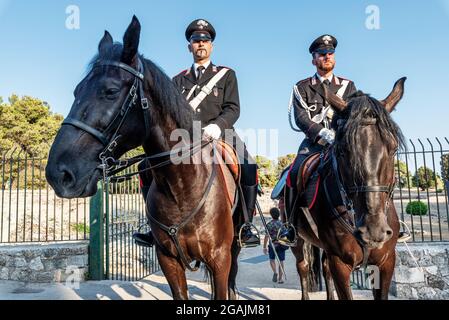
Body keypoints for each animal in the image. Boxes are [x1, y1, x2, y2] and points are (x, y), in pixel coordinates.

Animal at [45, 15, 245, 300]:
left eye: (110, 91)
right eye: (76, 91)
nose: (58, 173)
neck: (182, 187)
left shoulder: (220, 259)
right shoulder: (168, 260)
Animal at [288, 78, 406, 300]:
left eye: (394, 149)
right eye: (343, 150)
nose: (373, 231)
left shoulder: (386, 262)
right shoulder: (340, 263)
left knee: (324, 269)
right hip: (298, 240)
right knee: (304, 268)